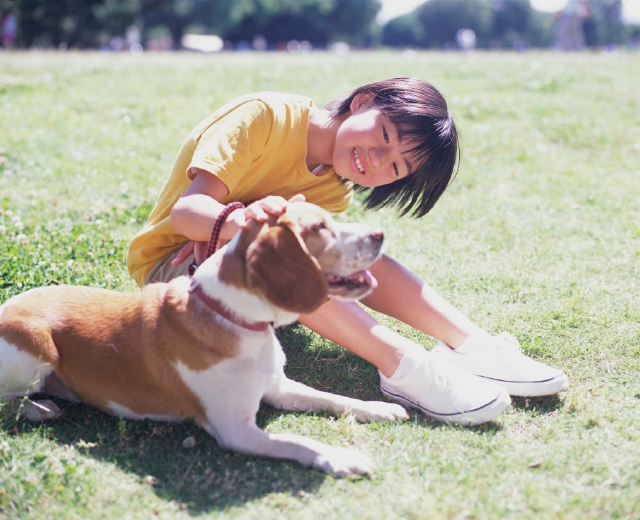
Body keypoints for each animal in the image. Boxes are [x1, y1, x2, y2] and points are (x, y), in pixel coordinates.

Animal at [0, 202, 408, 476]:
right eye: (320, 227)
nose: (380, 234)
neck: (238, 320)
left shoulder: (279, 388)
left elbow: (334, 398)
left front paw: (378, 408)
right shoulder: (236, 430)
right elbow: (298, 441)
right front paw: (341, 457)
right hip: (38, 347)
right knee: (7, 401)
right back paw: (37, 409)